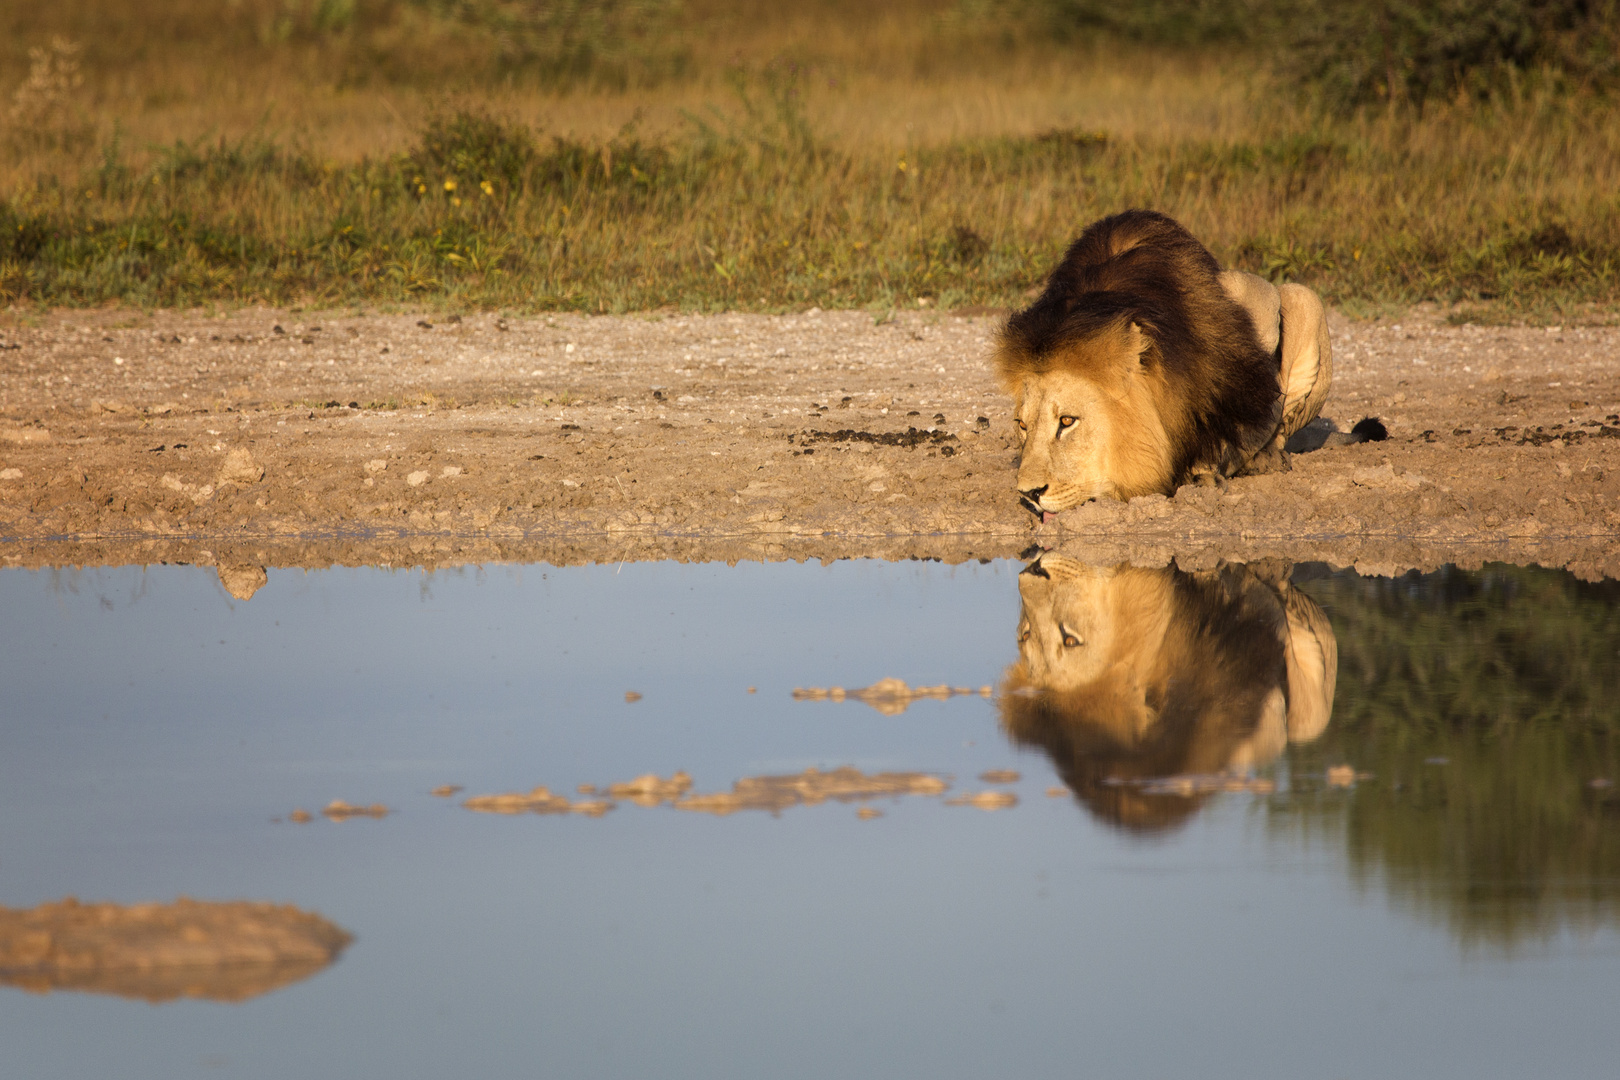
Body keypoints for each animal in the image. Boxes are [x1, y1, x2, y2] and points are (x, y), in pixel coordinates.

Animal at [997, 210, 1380, 518]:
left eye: (1067, 421)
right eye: (1022, 425)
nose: (1028, 494)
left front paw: (1206, 472)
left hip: (1306, 298)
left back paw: (1265, 459)